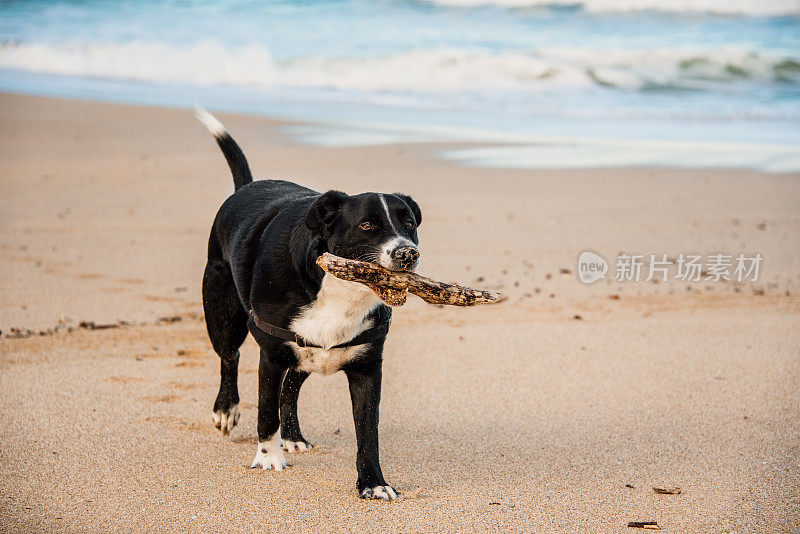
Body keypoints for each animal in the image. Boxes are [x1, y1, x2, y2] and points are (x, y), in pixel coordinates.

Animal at [197, 109, 422, 502]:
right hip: (223, 314)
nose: (408, 254)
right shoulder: (271, 354)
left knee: (292, 384)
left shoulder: (367, 367)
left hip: (310, 348)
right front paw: (268, 459)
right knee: (230, 356)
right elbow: (265, 411)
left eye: (409, 223)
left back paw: (293, 436)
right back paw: (227, 410)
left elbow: (368, 432)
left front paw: (373, 482)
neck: (338, 289)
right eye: (367, 225)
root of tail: (244, 188)